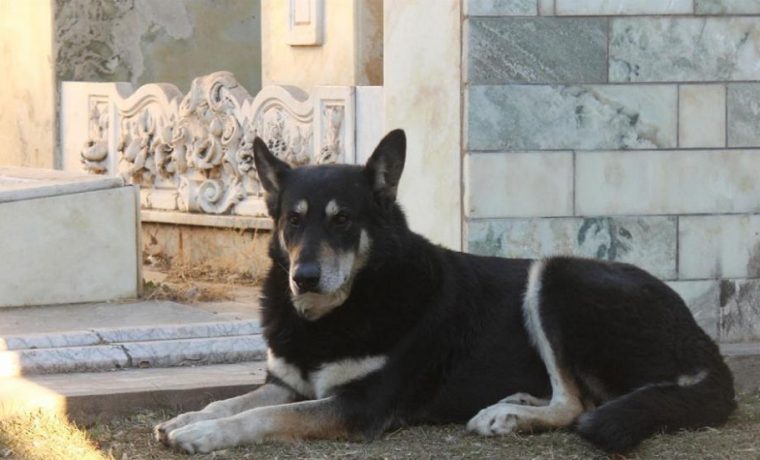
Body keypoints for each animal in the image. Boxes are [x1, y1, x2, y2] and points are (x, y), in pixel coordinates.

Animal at [156, 128, 736, 452]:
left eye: (344, 220)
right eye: (293, 221)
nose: (305, 277)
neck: (341, 307)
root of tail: (704, 344)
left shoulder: (360, 405)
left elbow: (260, 416)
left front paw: (204, 436)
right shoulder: (287, 383)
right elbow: (230, 401)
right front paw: (186, 419)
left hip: (556, 275)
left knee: (576, 403)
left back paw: (508, 416)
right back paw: (513, 401)